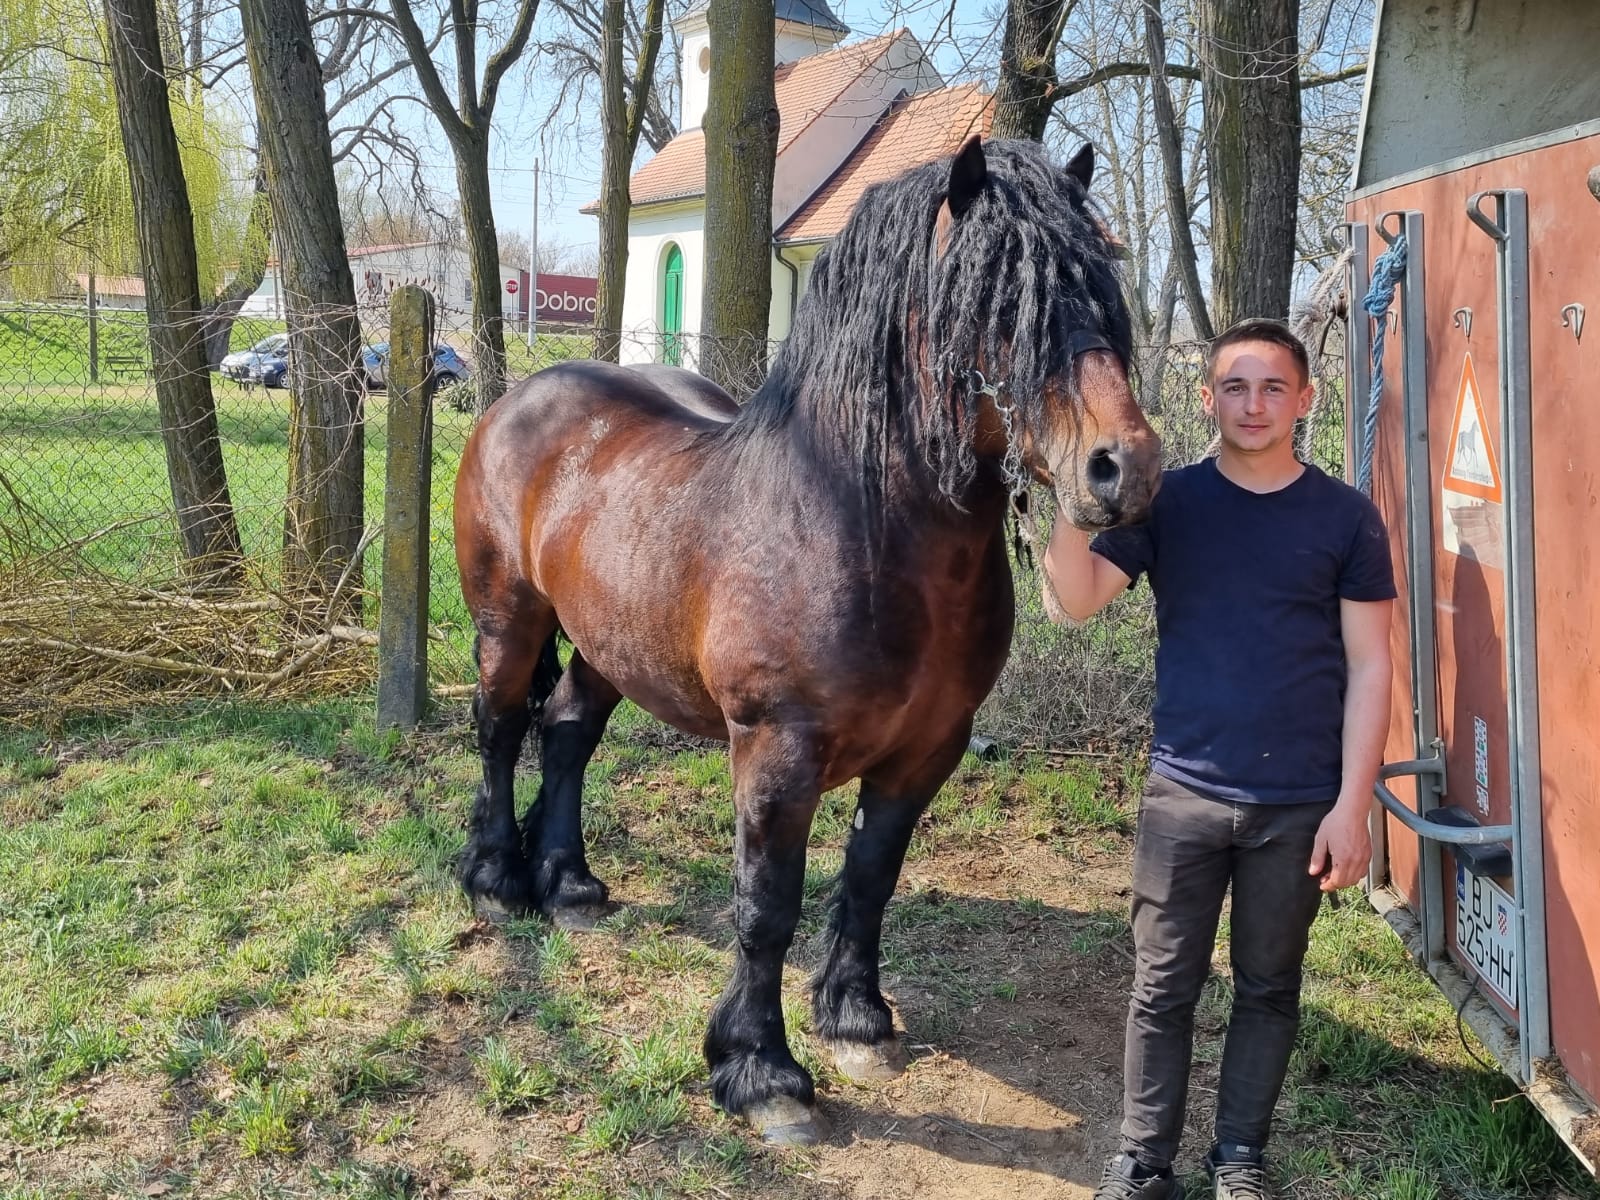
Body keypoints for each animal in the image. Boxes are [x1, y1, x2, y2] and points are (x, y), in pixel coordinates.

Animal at [454, 136, 1164, 1152]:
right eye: (995, 298)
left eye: (1104, 290)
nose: (1127, 469)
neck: (852, 522)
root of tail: (529, 393)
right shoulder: (776, 752)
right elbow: (767, 904)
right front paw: (761, 1071)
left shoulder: (928, 750)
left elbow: (871, 878)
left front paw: (857, 1019)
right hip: (508, 621)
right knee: (501, 728)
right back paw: (496, 881)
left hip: (607, 643)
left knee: (568, 733)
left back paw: (572, 885)